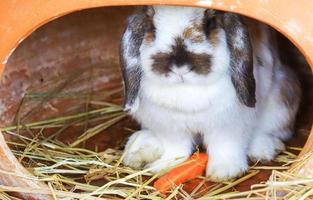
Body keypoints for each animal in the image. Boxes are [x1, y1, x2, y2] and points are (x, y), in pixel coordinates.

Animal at [117, 6, 300, 180]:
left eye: (210, 23)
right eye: (152, 28)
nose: (179, 67)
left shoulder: (228, 125)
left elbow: (224, 147)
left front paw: (224, 172)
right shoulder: (170, 128)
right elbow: (177, 150)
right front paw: (163, 166)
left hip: (281, 103)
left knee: (271, 131)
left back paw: (263, 150)